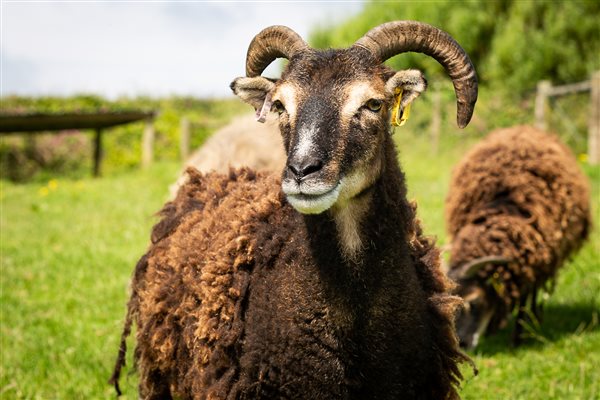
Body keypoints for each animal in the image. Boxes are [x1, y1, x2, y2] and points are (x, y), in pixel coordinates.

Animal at [446, 125, 592, 346]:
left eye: (475, 300)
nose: (462, 343)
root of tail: (526, 127)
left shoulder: (530, 264)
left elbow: (523, 299)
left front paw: (518, 337)